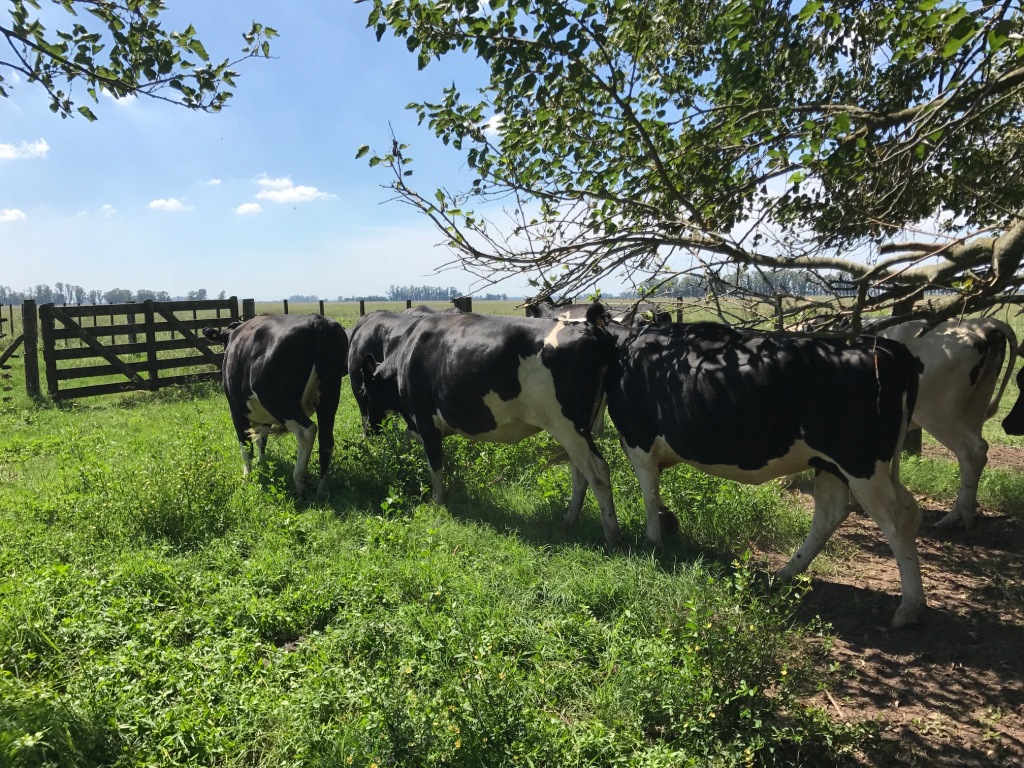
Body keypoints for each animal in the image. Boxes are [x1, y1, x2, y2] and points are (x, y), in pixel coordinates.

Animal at [202, 314, 348, 502]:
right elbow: (261, 439)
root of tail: (316, 320)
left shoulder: (235, 409)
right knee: (326, 440)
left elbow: (245, 443)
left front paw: (247, 476)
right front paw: (262, 463)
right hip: (329, 397)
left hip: (279, 401)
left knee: (307, 430)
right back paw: (322, 490)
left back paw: (300, 481)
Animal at [349, 307, 624, 546]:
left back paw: (612, 537)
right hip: (577, 429)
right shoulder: (417, 423)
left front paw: (438, 502)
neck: (406, 357)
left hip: (568, 426)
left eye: (363, 392)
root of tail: (591, 328)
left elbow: (435, 464)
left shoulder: (426, 421)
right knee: (580, 473)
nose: (369, 430)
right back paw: (569, 522)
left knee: (598, 472)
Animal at [602, 322, 925, 628]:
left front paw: (652, 542)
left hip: (861, 463)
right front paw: (666, 523)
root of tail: (888, 347)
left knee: (897, 518)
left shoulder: (637, 439)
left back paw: (910, 607)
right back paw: (787, 572)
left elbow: (649, 492)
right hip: (831, 463)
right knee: (831, 511)